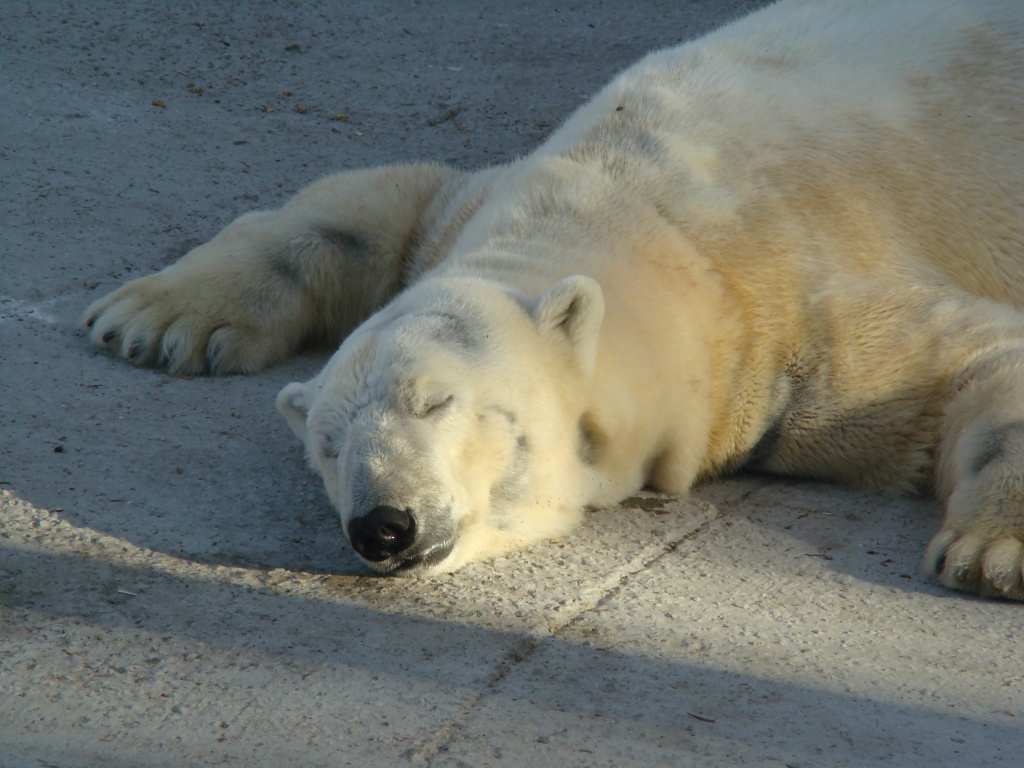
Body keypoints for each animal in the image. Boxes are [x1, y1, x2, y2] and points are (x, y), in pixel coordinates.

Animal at [82, 0, 1024, 599]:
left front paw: (991, 553)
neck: (651, 221)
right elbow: (367, 206)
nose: (382, 525)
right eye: (326, 443)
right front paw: (148, 319)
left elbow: (970, 361)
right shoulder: (465, 211)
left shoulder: (803, 296)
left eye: (437, 402)